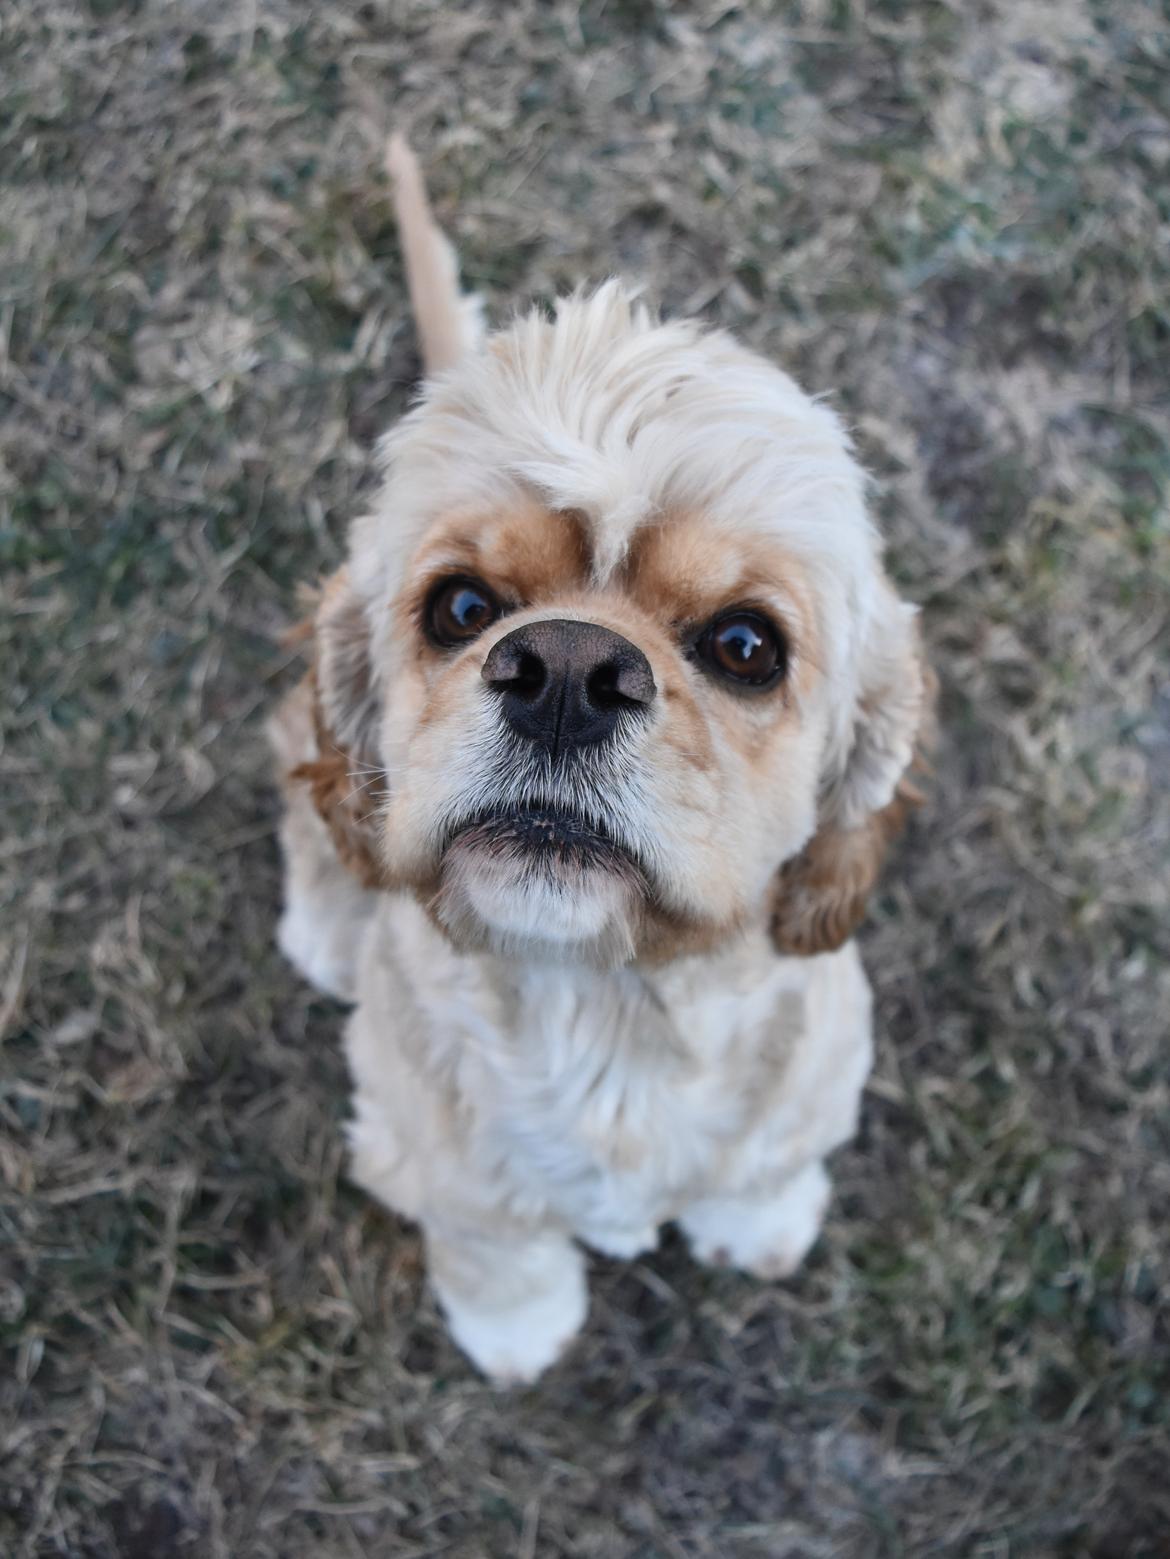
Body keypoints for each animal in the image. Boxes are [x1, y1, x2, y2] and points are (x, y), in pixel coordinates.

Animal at [268, 140, 935, 1384]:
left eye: (746, 645)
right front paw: (517, 1333)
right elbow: (497, 1248)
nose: (567, 671)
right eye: (461, 606)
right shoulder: (427, 1149)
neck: (612, 1009)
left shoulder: (819, 1069)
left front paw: (760, 1224)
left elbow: (772, 1161)